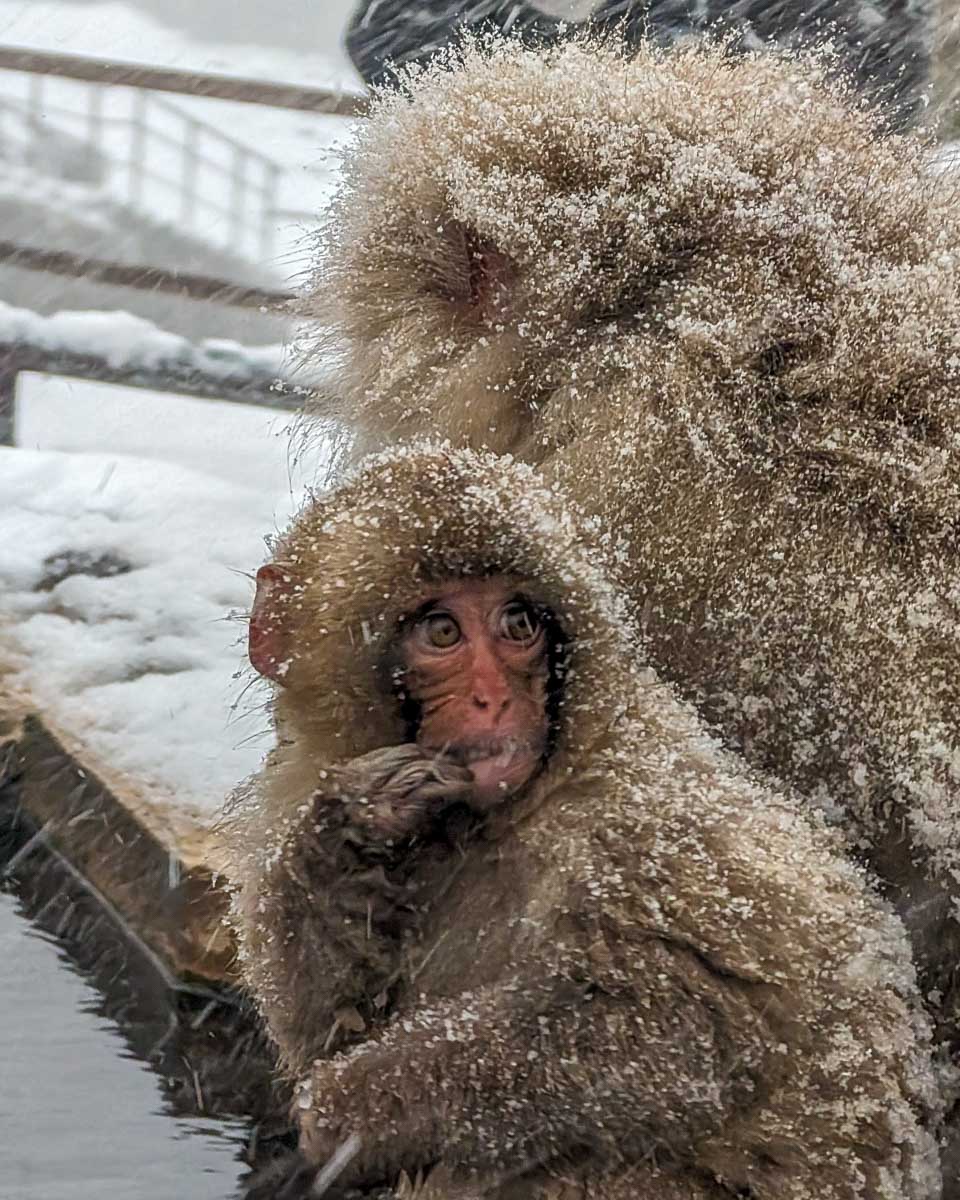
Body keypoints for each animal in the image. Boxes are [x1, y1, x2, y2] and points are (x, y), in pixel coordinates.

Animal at [224, 446, 942, 1200]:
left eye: (519, 624)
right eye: (442, 632)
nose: (494, 698)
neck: (498, 820)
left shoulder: (640, 829)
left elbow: (688, 1019)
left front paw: (353, 1107)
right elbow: (326, 1023)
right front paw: (353, 829)